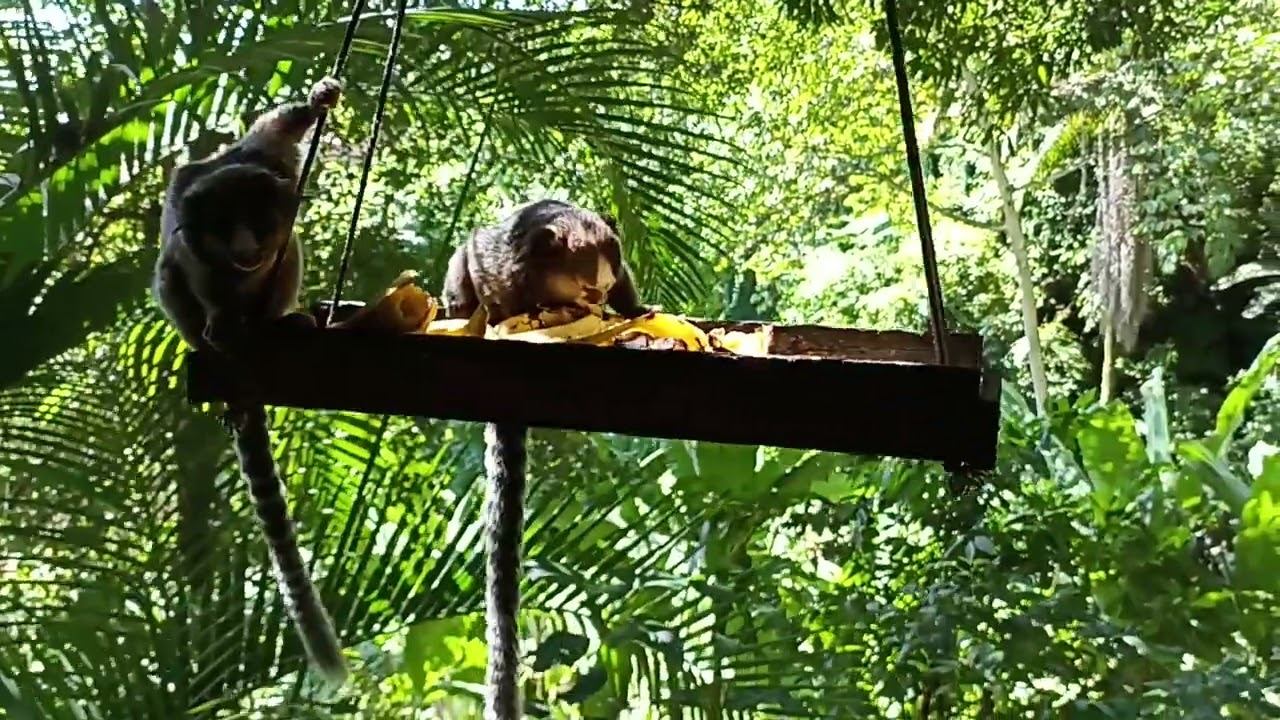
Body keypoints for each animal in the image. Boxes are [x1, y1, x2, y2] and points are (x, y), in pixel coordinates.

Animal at [151, 77, 349, 684]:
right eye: (225, 228)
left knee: (289, 257)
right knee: (169, 273)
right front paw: (217, 317)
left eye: (255, 224)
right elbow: (186, 261)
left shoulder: (268, 162)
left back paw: (277, 323)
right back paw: (217, 336)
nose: (245, 249)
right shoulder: (196, 233)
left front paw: (319, 100)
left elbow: (275, 129)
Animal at [442, 199, 652, 719]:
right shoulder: (504, 264)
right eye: (584, 286)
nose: (595, 300)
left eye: (602, 287)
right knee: (461, 267)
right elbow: (481, 264)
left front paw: (632, 311)